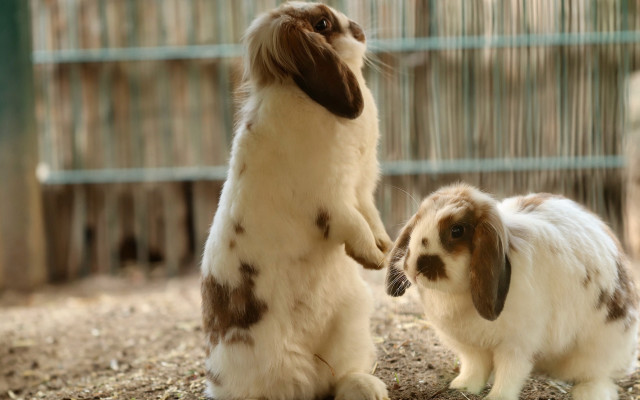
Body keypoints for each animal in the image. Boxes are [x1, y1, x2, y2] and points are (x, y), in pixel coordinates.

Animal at [200, 2, 392, 400]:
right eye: (322, 23)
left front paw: (385, 246)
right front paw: (372, 258)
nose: (360, 30)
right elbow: (353, 223)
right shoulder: (331, 198)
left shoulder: (361, 188)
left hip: (352, 324)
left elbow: (370, 215)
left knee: (338, 377)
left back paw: (368, 388)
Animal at [385, 182, 639, 400]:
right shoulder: (471, 348)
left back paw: (588, 392)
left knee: (598, 376)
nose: (415, 267)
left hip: (599, 348)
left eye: (457, 230)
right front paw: (462, 387)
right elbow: (474, 368)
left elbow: (510, 374)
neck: (456, 295)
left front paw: (496, 397)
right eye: (418, 221)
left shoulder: (517, 345)